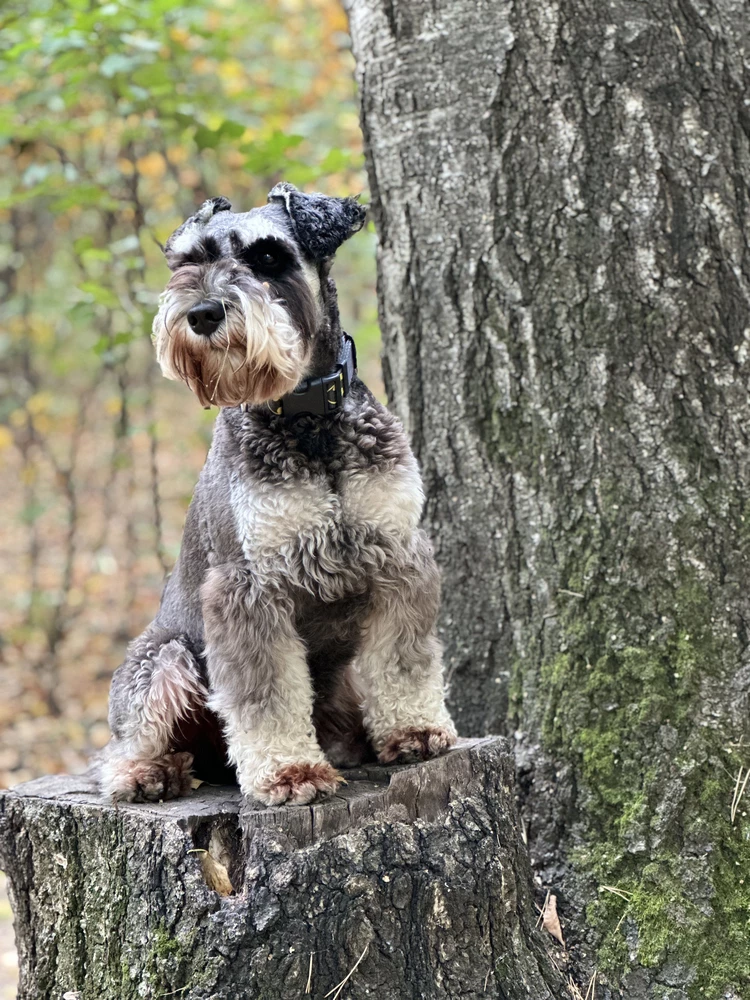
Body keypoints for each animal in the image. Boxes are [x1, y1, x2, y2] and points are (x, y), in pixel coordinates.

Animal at [100, 184, 458, 808]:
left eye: (268, 256)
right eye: (189, 261)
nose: (202, 313)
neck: (308, 419)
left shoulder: (398, 555)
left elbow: (403, 659)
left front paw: (414, 730)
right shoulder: (248, 586)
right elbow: (265, 693)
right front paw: (289, 772)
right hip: (164, 658)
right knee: (126, 742)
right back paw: (150, 772)